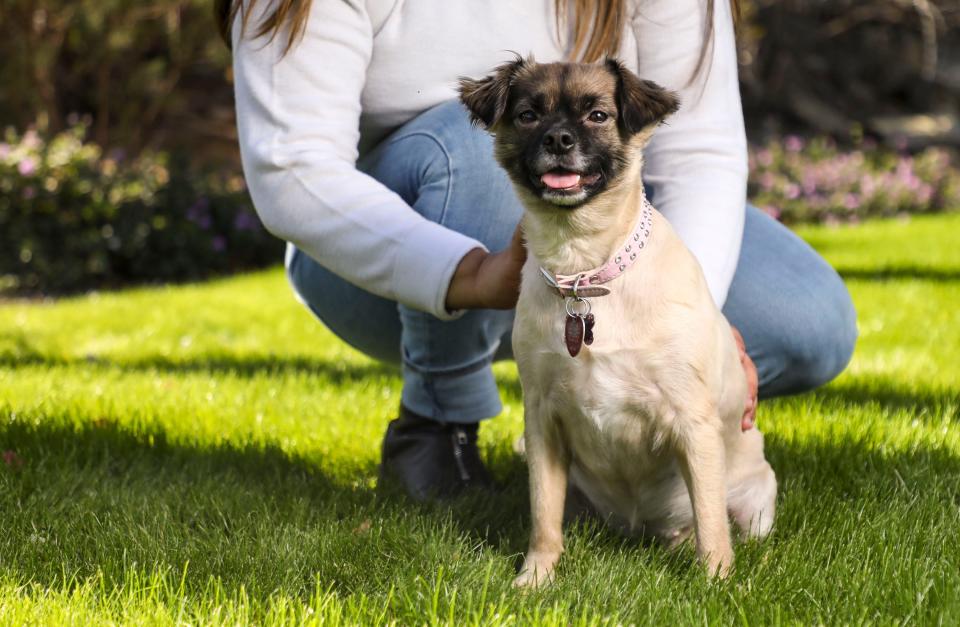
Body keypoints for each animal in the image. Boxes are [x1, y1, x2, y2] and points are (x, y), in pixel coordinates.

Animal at [460, 56, 780, 588]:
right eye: (528, 116)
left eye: (598, 116)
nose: (559, 138)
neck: (582, 272)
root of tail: (640, 529)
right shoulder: (542, 421)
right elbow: (543, 515)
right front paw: (537, 577)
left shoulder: (693, 424)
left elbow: (710, 517)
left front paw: (715, 579)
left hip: (757, 498)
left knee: (719, 522)